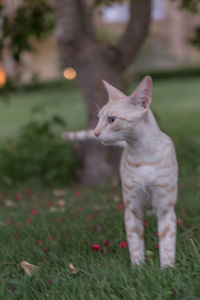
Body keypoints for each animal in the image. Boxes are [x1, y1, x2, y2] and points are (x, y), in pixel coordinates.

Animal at [62, 77, 178, 268]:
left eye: (111, 119)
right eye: (98, 119)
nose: (95, 133)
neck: (143, 154)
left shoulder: (165, 207)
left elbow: (167, 242)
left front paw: (167, 268)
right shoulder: (132, 208)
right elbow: (135, 241)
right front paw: (138, 267)